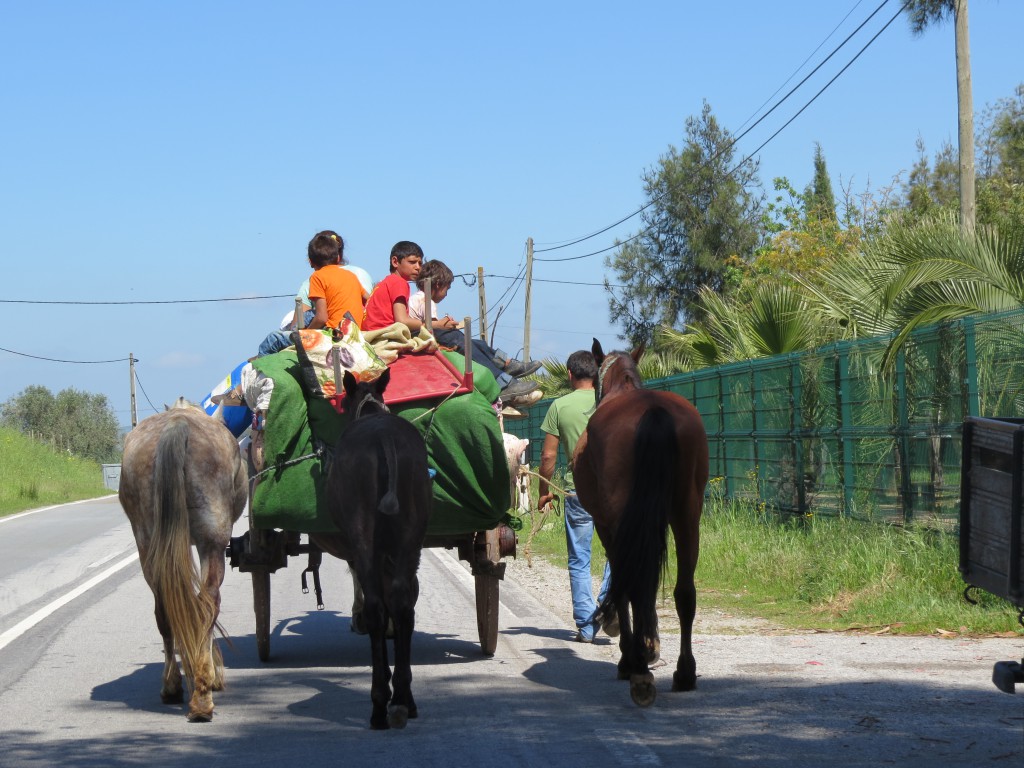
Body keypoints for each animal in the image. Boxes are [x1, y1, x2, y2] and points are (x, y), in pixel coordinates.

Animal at [118, 397, 246, 720]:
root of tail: (177, 425)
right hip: (212, 542)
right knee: (208, 602)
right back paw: (202, 697)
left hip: (148, 543)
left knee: (164, 609)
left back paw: (173, 686)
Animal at [573, 339, 708, 708]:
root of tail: (654, 411)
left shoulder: (607, 526)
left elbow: (622, 587)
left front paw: (630, 656)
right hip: (687, 515)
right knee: (684, 592)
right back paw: (684, 672)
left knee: (634, 584)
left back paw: (637, 665)